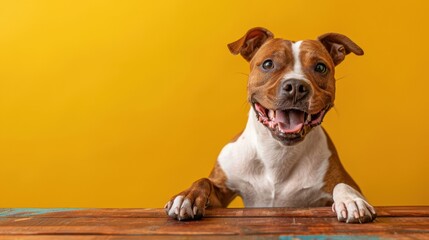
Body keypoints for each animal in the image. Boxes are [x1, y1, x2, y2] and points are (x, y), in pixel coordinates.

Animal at [164, 27, 374, 223]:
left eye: (321, 67)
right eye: (268, 64)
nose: (296, 86)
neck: (278, 151)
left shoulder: (341, 182)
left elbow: (342, 185)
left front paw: (351, 200)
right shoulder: (221, 190)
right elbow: (203, 181)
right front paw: (187, 197)